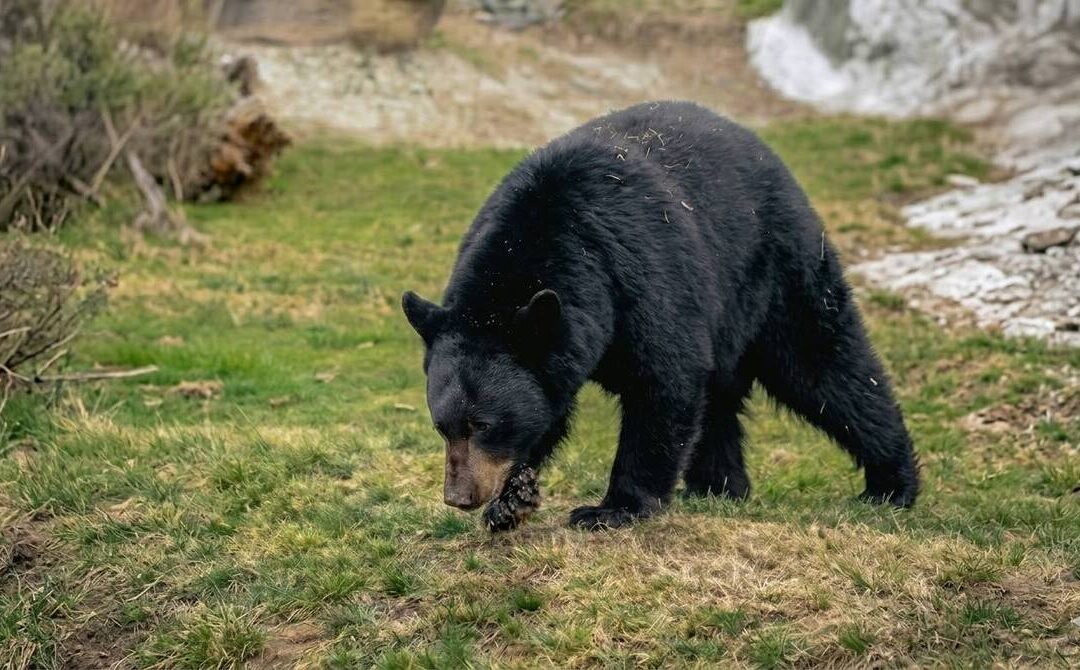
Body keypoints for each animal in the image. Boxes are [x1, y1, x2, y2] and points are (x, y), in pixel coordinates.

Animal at [402, 101, 919, 531]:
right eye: (442, 426)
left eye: (483, 425)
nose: (459, 497)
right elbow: (547, 406)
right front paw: (511, 501)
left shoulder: (640, 276)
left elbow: (664, 381)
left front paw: (612, 509)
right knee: (720, 402)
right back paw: (717, 487)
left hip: (776, 270)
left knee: (825, 366)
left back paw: (891, 485)